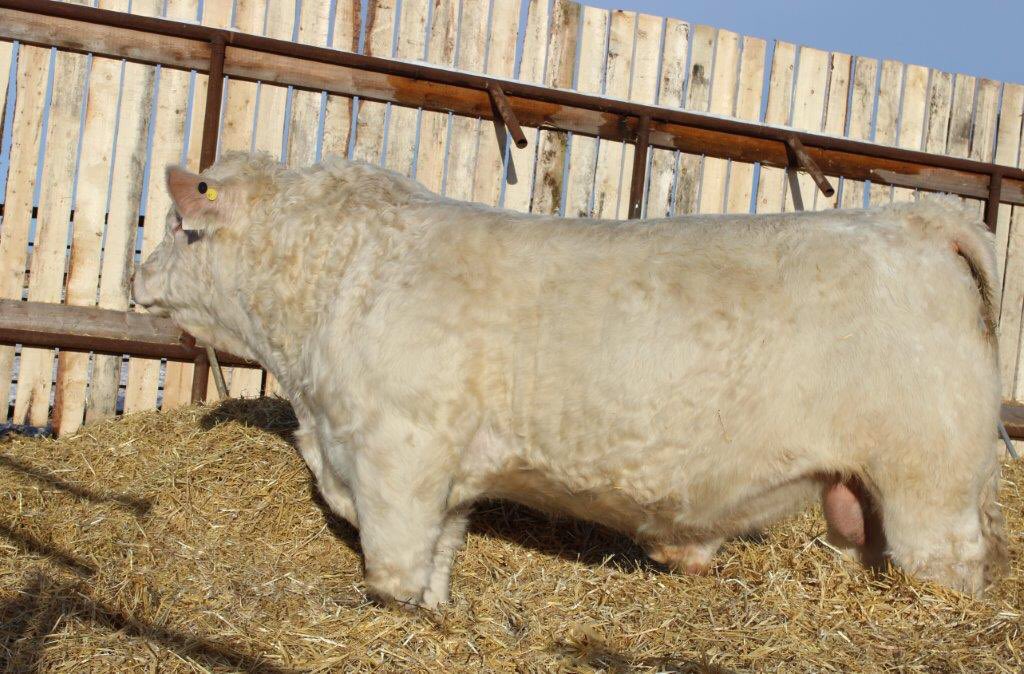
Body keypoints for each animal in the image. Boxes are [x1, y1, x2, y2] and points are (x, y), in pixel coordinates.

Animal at [132, 152, 1008, 607]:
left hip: (928, 478)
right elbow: (440, 556)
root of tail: (914, 219)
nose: (139, 277)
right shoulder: (446, 472)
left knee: (951, 562)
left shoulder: (398, 452)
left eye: (179, 225)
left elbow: (395, 562)